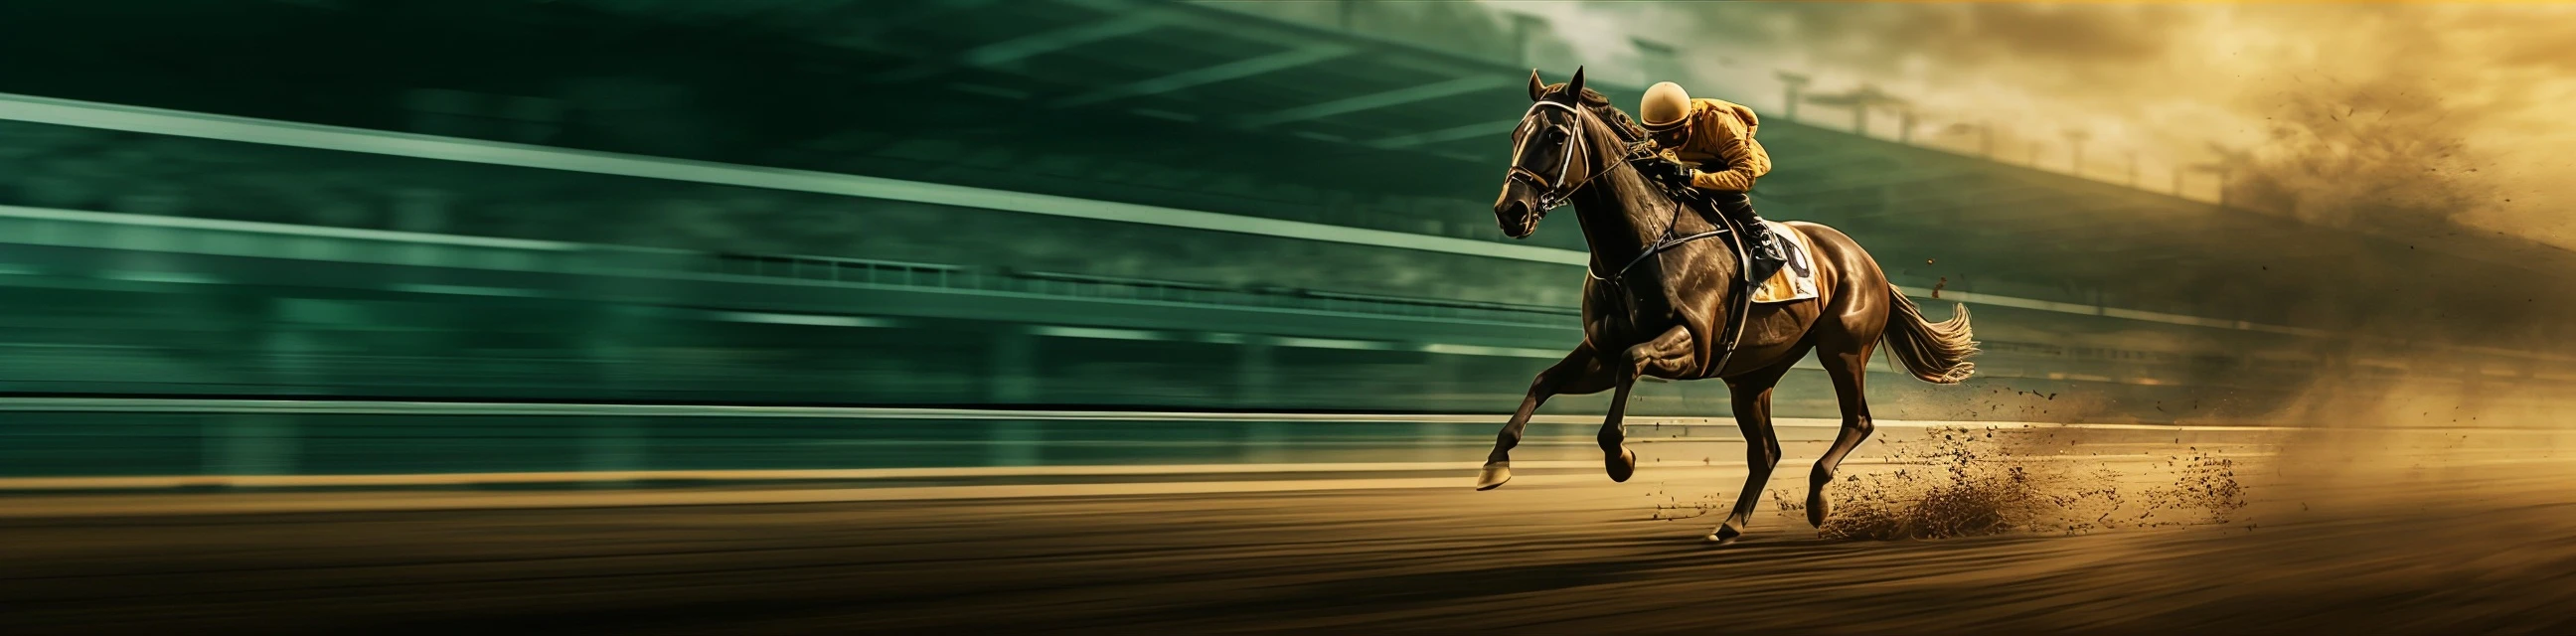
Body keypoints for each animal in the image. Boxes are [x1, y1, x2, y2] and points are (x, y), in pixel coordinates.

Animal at [1476, 67, 1980, 545]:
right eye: (1516, 134)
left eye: (1556, 135)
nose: (1510, 211)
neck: (1638, 246)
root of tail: (1866, 260)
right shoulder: (1599, 351)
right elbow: (1544, 380)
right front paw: (1494, 464)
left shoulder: (1692, 345)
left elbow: (1632, 361)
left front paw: (1620, 458)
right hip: (1751, 376)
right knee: (1766, 451)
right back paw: (1731, 524)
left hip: (1843, 348)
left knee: (1858, 421)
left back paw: (1818, 500)